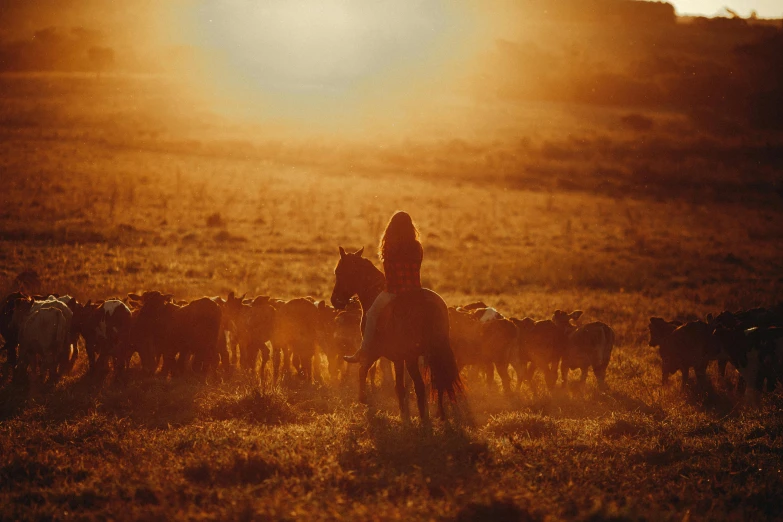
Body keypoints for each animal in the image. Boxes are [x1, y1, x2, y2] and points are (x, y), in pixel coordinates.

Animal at [330, 246, 462, 420]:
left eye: (338, 271)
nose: (335, 301)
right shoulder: (399, 358)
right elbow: (400, 385)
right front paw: (404, 412)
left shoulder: (379, 351)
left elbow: (365, 370)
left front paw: (364, 398)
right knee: (437, 383)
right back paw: (439, 414)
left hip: (412, 356)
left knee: (421, 385)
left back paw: (425, 418)